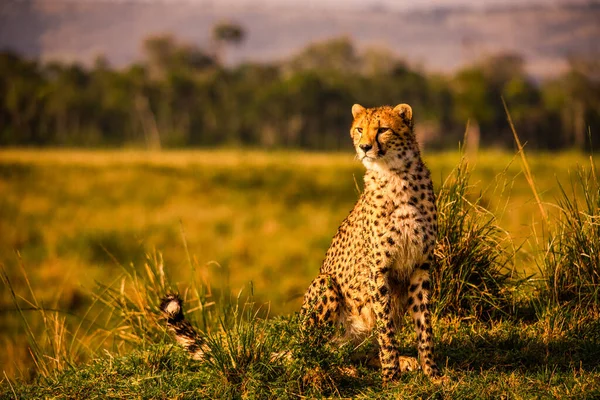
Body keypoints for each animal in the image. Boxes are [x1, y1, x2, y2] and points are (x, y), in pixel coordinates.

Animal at [302, 103, 438, 382]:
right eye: (359, 129)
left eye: (383, 129)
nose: (365, 147)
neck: (396, 175)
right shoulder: (377, 270)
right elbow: (385, 329)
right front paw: (391, 377)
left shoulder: (421, 266)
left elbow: (424, 324)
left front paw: (432, 373)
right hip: (325, 283)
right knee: (314, 353)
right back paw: (335, 370)